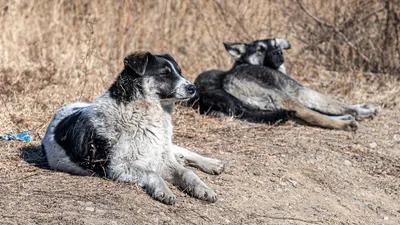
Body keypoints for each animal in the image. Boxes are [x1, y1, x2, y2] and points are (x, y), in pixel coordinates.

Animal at [191, 38, 378, 130]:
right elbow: (338, 104)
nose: (278, 52)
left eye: (275, 45)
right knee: (312, 115)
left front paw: (363, 106)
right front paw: (364, 111)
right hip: (285, 98)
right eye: (260, 49)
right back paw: (345, 124)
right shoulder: (303, 91)